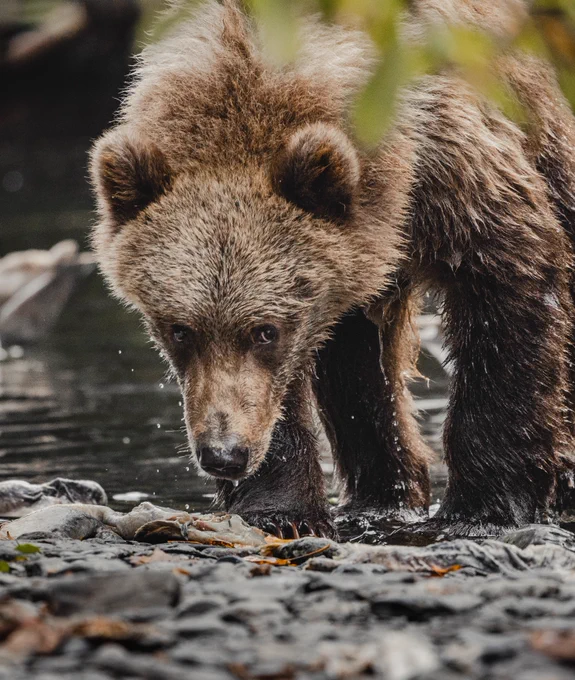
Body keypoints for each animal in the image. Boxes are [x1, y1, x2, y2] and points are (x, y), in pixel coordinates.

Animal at [90, 0, 575, 539]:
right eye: (179, 330)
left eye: (266, 331)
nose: (224, 454)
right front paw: (279, 508)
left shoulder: (451, 164)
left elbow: (507, 281)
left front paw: (482, 508)